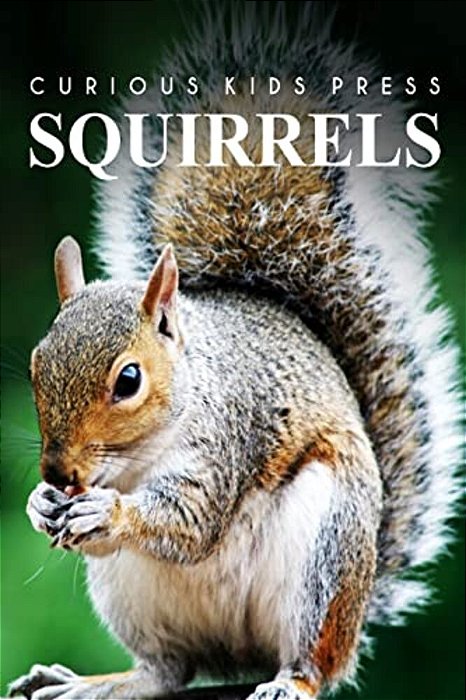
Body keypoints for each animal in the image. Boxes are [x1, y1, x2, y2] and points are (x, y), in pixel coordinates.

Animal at [9, 4, 462, 700]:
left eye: (128, 380)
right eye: (37, 364)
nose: (58, 475)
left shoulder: (230, 437)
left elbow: (190, 522)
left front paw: (112, 511)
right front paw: (41, 506)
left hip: (324, 559)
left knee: (312, 663)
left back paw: (290, 682)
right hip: (131, 594)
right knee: (166, 671)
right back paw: (92, 683)